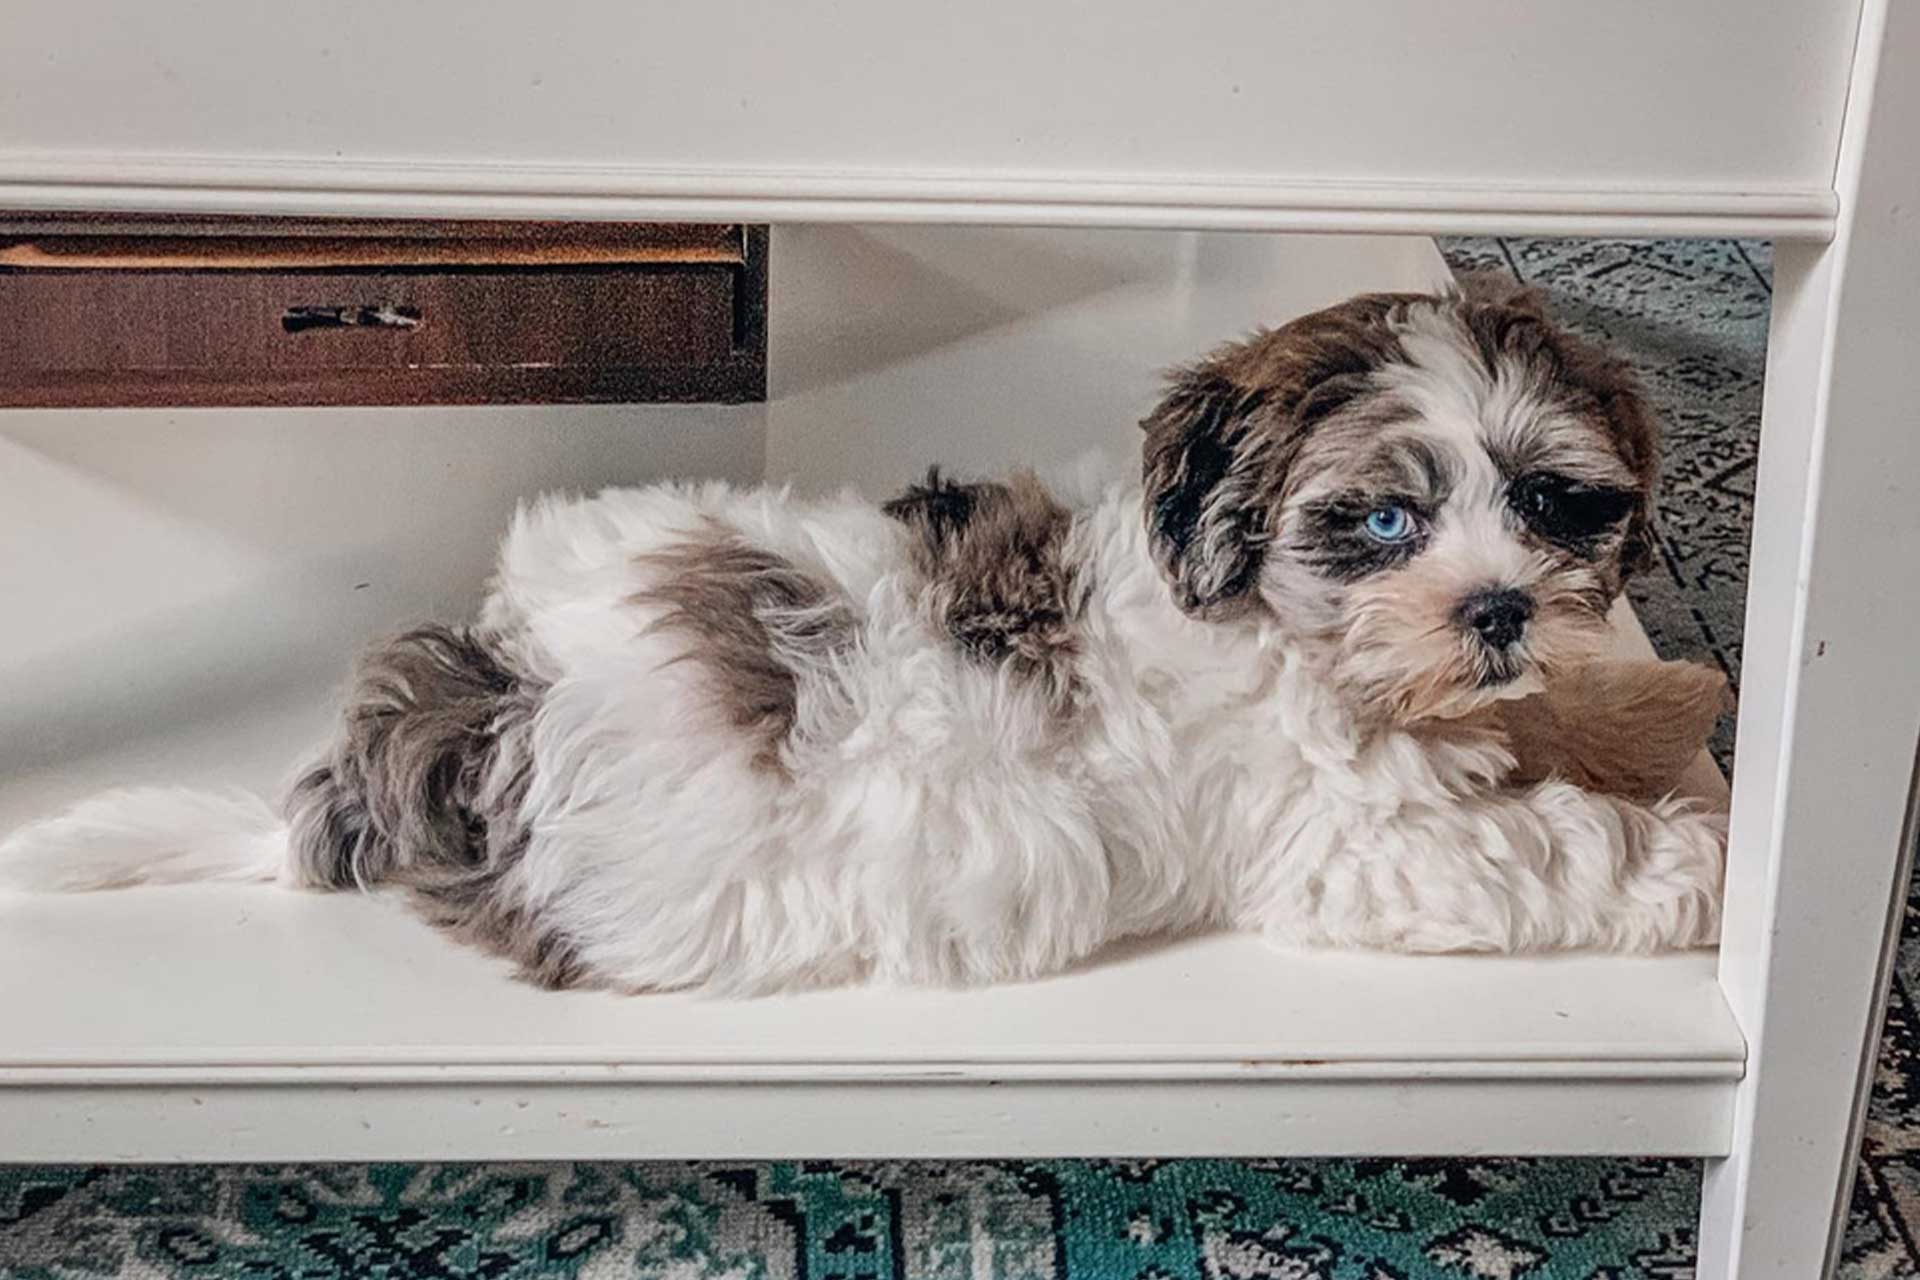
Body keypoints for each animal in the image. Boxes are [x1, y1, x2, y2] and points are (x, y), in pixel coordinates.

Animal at [0, 287, 1728, 990]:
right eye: (1376, 522)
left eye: (1557, 504)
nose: (1497, 609)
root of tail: (481, 710)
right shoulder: (1355, 842)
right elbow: (1553, 844)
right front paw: (1705, 863)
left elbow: (1562, 725)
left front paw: (1675, 699)